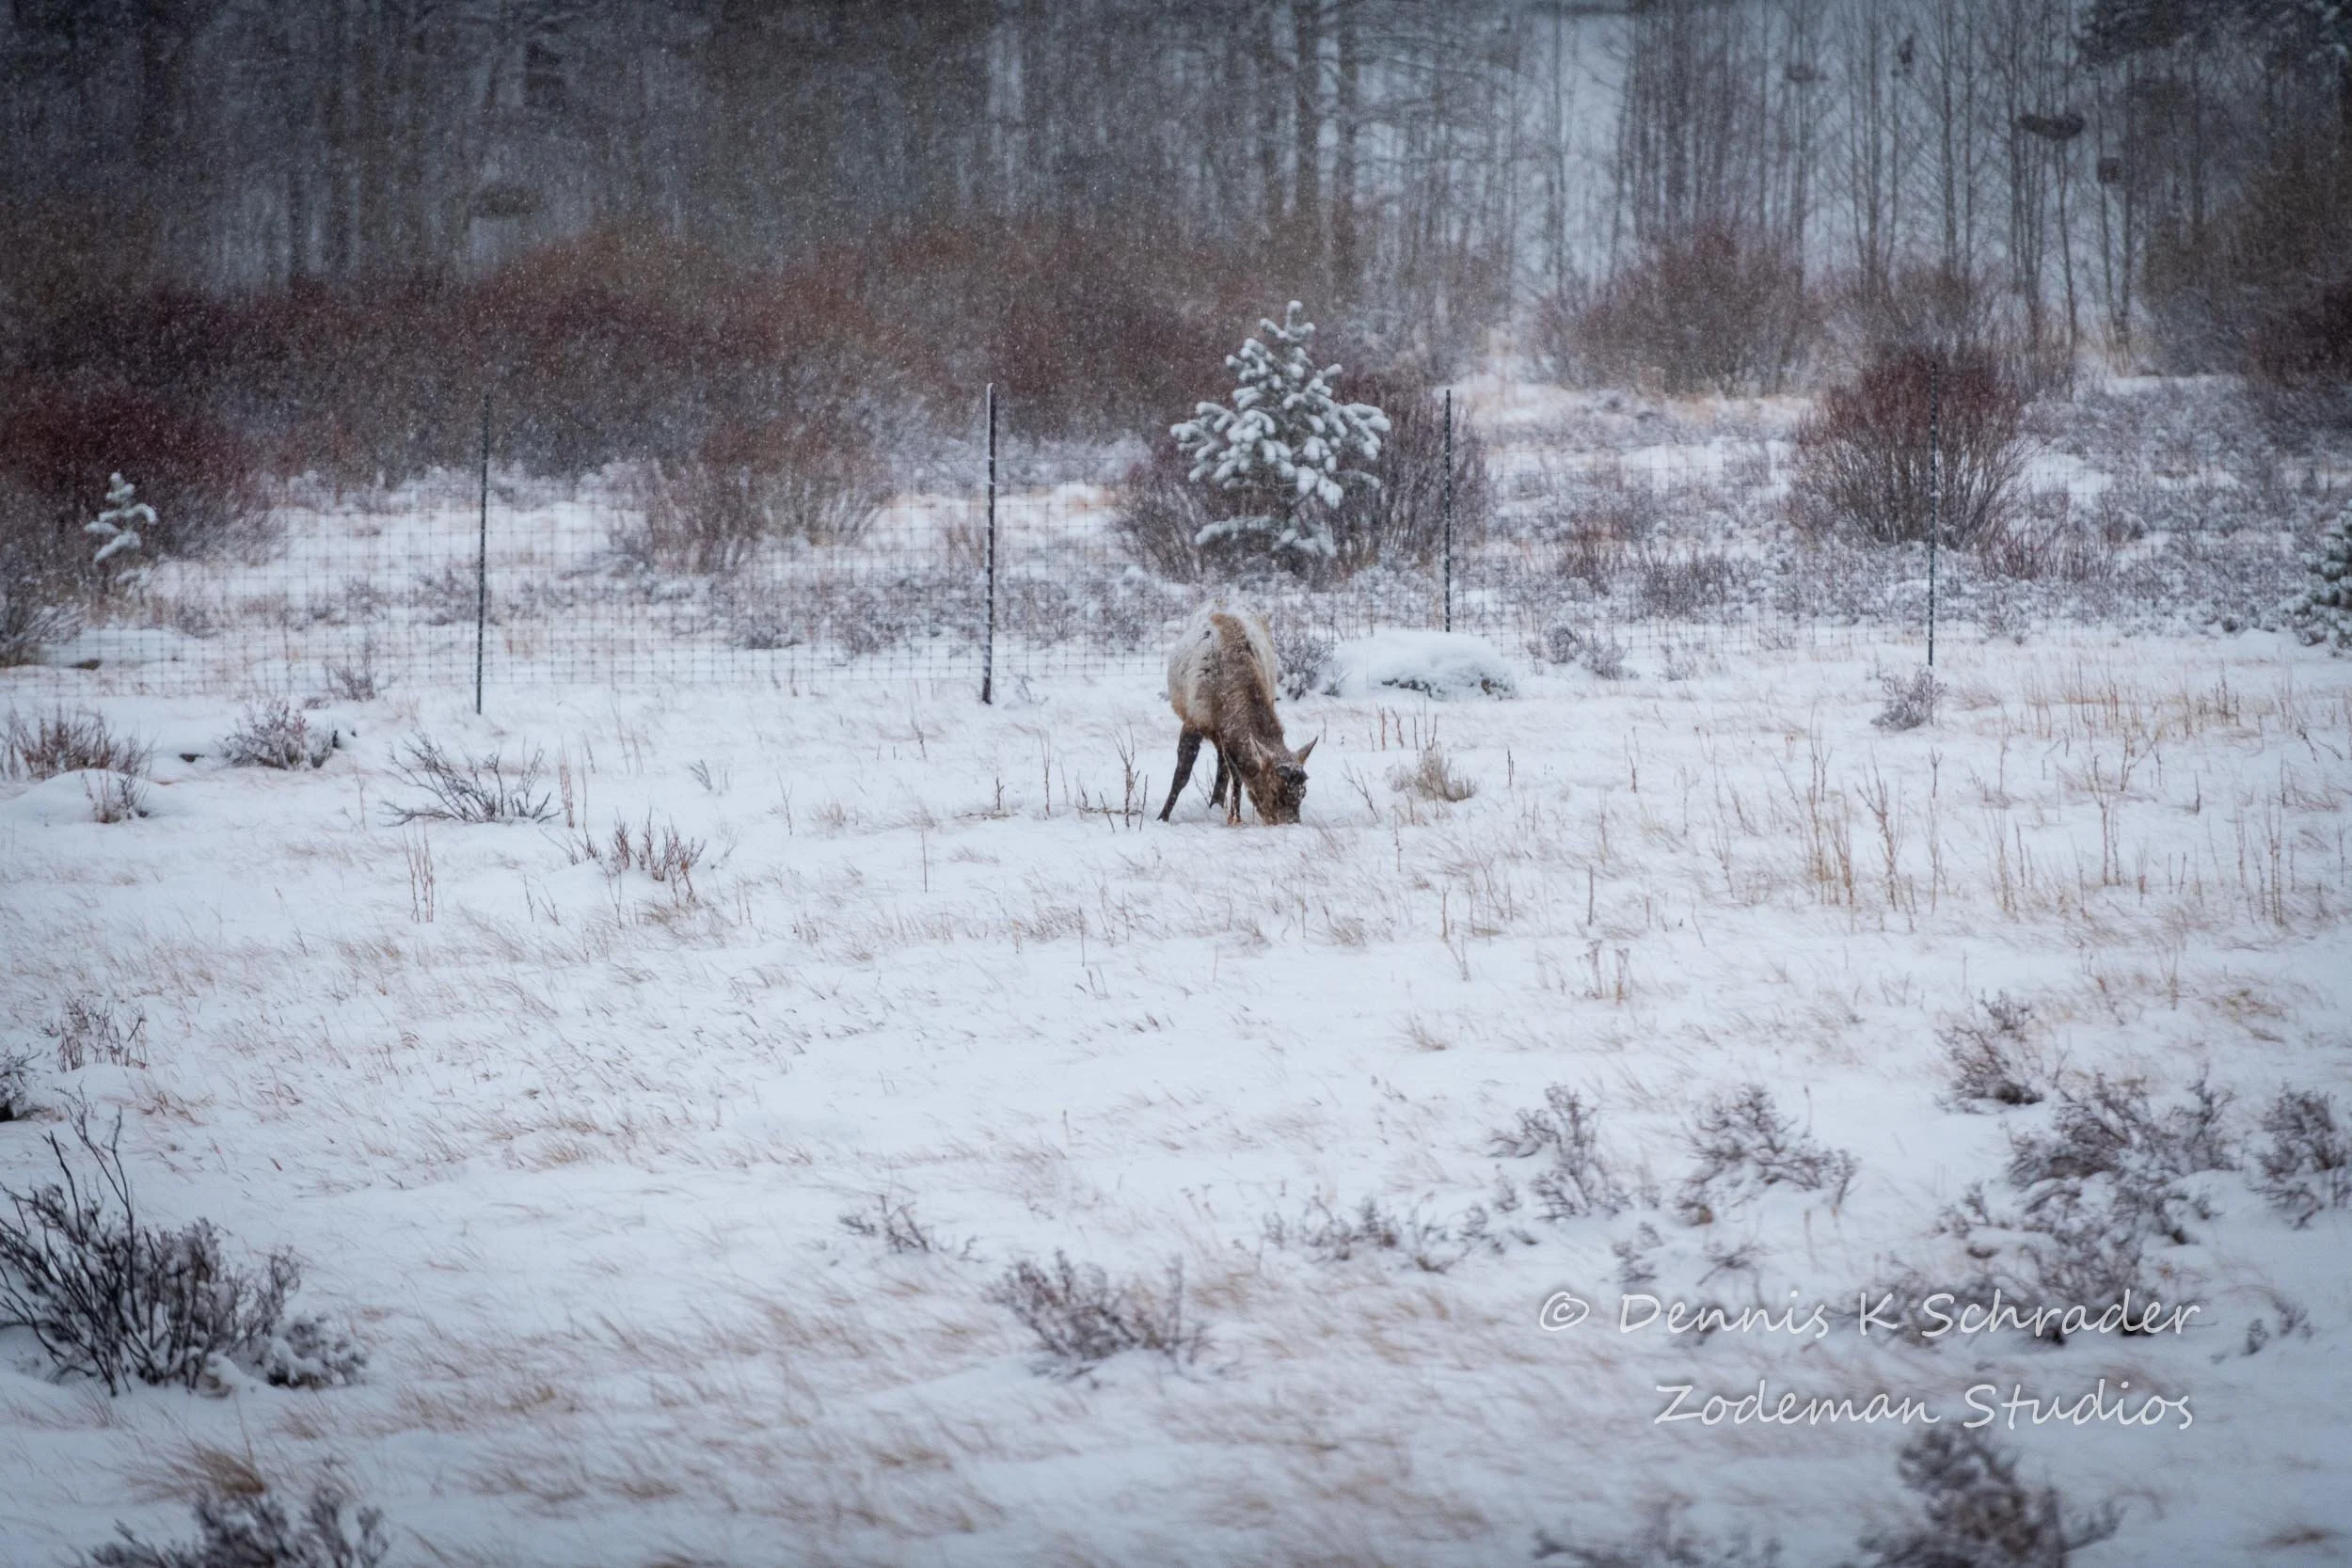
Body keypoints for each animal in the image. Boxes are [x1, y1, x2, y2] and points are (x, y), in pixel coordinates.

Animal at [1157, 603, 1316, 825]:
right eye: (1274, 791)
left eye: (1303, 793)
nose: (1291, 825)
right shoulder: (1194, 720)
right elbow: (1181, 775)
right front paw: (1162, 816)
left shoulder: (1228, 732)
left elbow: (1236, 774)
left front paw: (1235, 817)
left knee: (1224, 770)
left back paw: (1216, 805)